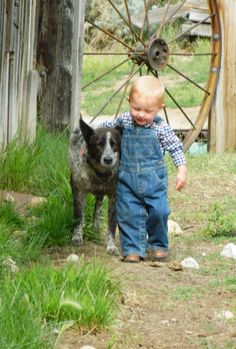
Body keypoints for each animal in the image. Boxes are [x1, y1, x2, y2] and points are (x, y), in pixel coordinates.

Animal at [68, 117, 121, 253]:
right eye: (98, 144)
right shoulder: (78, 191)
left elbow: (112, 225)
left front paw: (111, 245)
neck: (100, 174)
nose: (108, 160)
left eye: (114, 144)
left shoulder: (114, 198)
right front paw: (77, 236)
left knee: (98, 205)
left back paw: (95, 225)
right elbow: (78, 216)